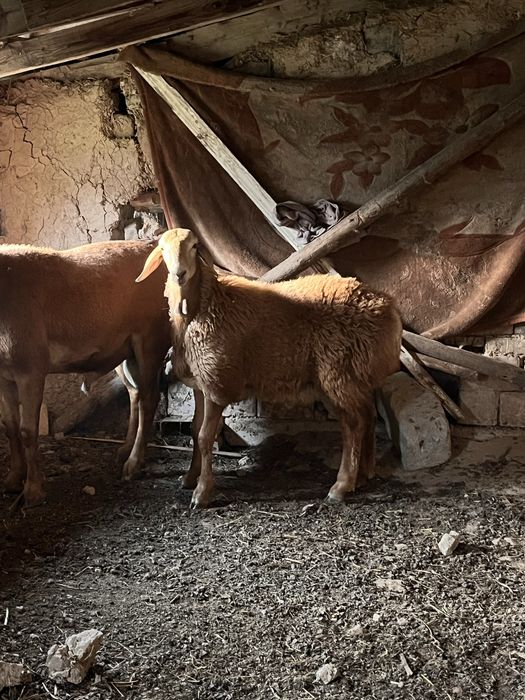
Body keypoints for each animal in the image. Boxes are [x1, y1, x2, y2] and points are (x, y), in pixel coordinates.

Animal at [0, 240, 171, 506]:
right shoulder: (5, 375)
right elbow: (10, 427)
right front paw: (12, 481)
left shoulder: (31, 370)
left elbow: (27, 430)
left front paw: (33, 490)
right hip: (125, 350)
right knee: (135, 393)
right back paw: (124, 450)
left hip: (151, 340)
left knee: (149, 399)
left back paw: (133, 464)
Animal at [136, 228, 402, 508]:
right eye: (162, 249)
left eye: (195, 246)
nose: (179, 274)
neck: (204, 307)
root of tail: (386, 305)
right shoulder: (200, 385)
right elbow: (195, 432)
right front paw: (189, 478)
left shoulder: (217, 383)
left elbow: (205, 437)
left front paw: (202, 492)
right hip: (353, 375)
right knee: (367, 416)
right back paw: (364, 474)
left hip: (340, 372)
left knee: (353, 424)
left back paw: (341, 486)